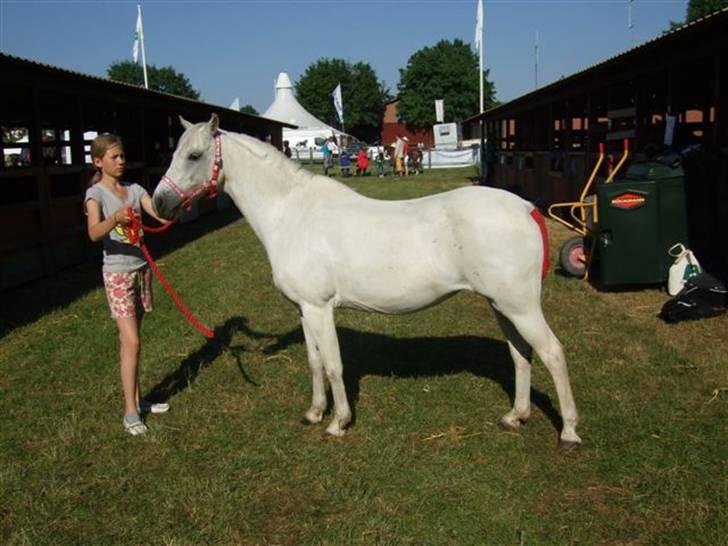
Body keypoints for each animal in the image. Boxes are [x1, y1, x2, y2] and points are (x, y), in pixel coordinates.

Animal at [152, 115, 580, 446]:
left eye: (194, 155)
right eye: (172, 152)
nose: (158, 204)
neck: (292, 214)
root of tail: (524, 207)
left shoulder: (320, 309)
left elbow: (334, 365)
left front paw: (338, 423)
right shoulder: (304, 310)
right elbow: (314, 362)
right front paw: (314, 413)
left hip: (520, 306)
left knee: (553, 353)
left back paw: (569, 433)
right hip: (502, 305)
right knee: (520, 355)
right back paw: (515, 416)